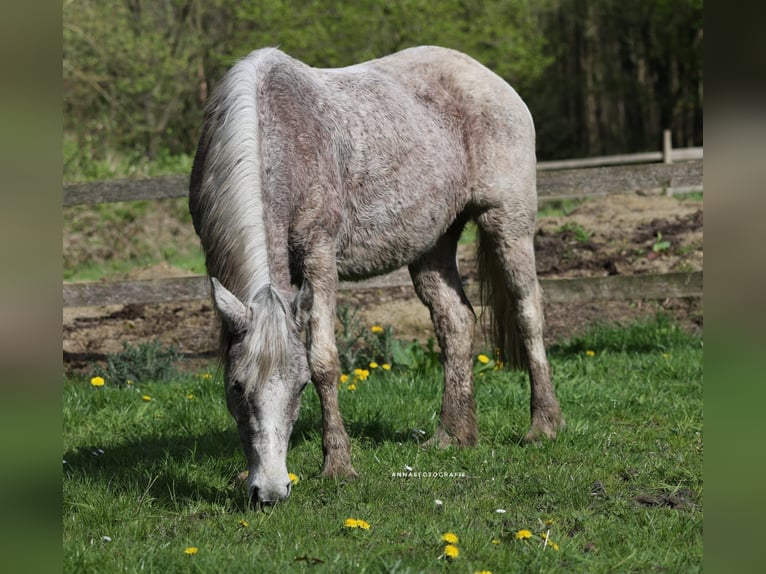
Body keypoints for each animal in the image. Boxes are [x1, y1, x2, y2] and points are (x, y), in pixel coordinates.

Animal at [190, 47, 568, 508]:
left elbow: (325, 360)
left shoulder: (320, 256)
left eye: (300, 387)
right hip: (433, 243)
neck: (276, 136)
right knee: (456, 322)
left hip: (507, 222)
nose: (272, 490)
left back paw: (543, 425)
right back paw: (453, 435)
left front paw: (338, 465)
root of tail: (491, 80)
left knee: (528, 313)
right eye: (237, 387)